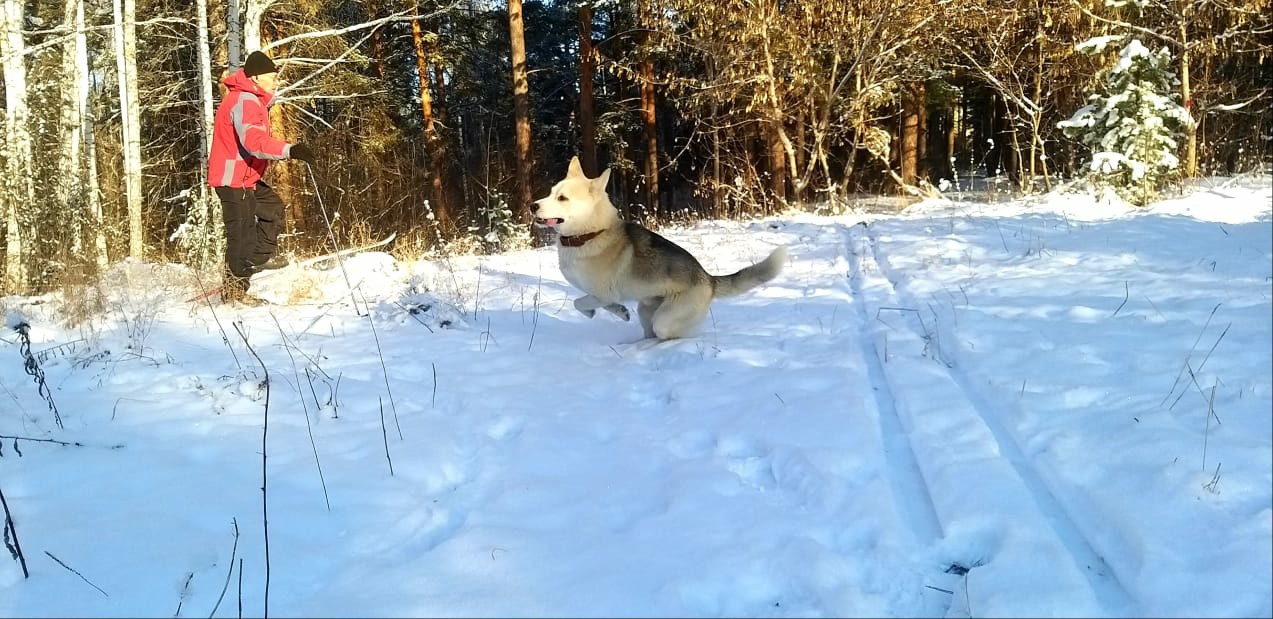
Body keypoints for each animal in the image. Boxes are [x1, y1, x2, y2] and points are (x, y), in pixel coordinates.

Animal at [527, 154, 784, 338]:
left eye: (562, 198)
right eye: (550, 193)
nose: (532, 206)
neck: (590, 234)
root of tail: (708, 279)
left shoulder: (602, 292)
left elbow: (581, 302)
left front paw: (595, 311)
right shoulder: (602, 295)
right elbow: (596, 303)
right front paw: (620, 312)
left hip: (666, 319)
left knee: (668, 334)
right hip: (646, 309)